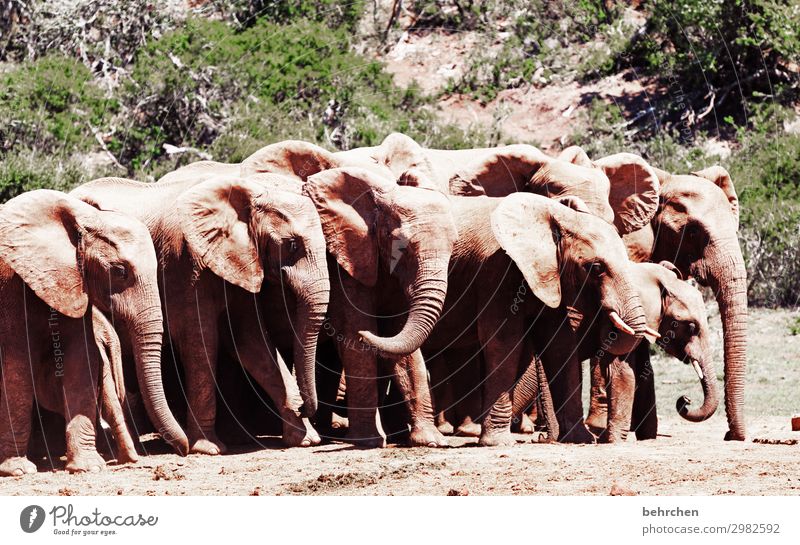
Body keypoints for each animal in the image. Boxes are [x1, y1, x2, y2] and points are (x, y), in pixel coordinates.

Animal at [0, 189, 186, 474]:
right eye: (119, 271)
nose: (184, 451)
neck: (81, 218)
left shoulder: (75, 284)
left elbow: (80, 359)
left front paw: (88, 467)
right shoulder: (11, 287)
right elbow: (16, 366)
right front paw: (18, 470)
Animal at [70, 175, 330, 454]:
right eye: (292, 245)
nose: (303, 407)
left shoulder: (241, 264)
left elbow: (252, 343)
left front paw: (306, 440)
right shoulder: (185, 265)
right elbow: (202, 342)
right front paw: (209, 448)